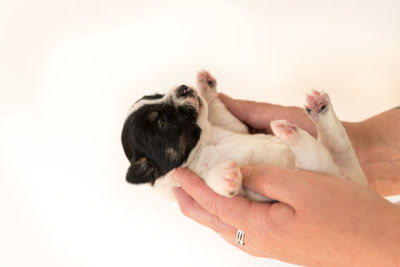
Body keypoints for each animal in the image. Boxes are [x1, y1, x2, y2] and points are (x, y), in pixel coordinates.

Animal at [122, 71, 368, 201]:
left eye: (157, 94)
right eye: (162, 122)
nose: (184, 87)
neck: (205, 142)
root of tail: (347, 178)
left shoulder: (234, 125)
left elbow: (217, 108)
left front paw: (205, 86)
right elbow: (212, 179)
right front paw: (226, 176)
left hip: (336, 157)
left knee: (333, 137)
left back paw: (317, 108)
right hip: (318, 167)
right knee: (312, 151)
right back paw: (288, 132)